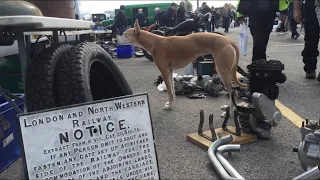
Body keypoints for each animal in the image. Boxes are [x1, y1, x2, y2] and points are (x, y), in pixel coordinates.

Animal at [117, 19, 248, 114]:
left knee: (232, 92)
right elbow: (172, 91)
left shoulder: (164, 71)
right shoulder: (169, 71)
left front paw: (169, 107)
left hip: (222, 71)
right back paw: (228, 107)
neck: (155, 42)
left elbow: (170, 92)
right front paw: (171, 103)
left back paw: (228, 112)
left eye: (125, 34)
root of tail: (228, 40)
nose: (117, 41)